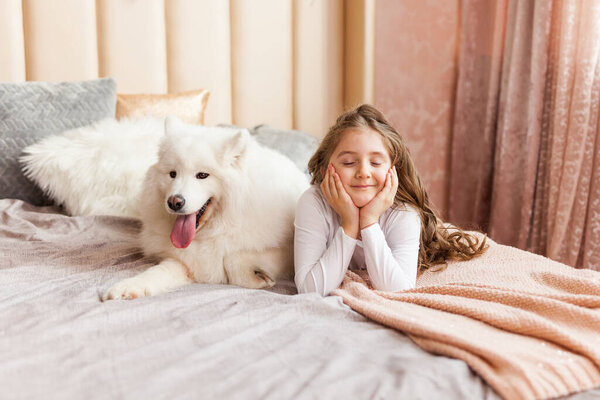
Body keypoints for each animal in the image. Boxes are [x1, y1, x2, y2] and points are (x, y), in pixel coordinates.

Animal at [102, 116, 308, 300]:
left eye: (202, 175)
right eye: (172, 174)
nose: (174, 202)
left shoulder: (289, 249)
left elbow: (234, 257)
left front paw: (254, 277)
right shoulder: (185, 261)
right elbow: (156, 272)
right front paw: (127, 287)